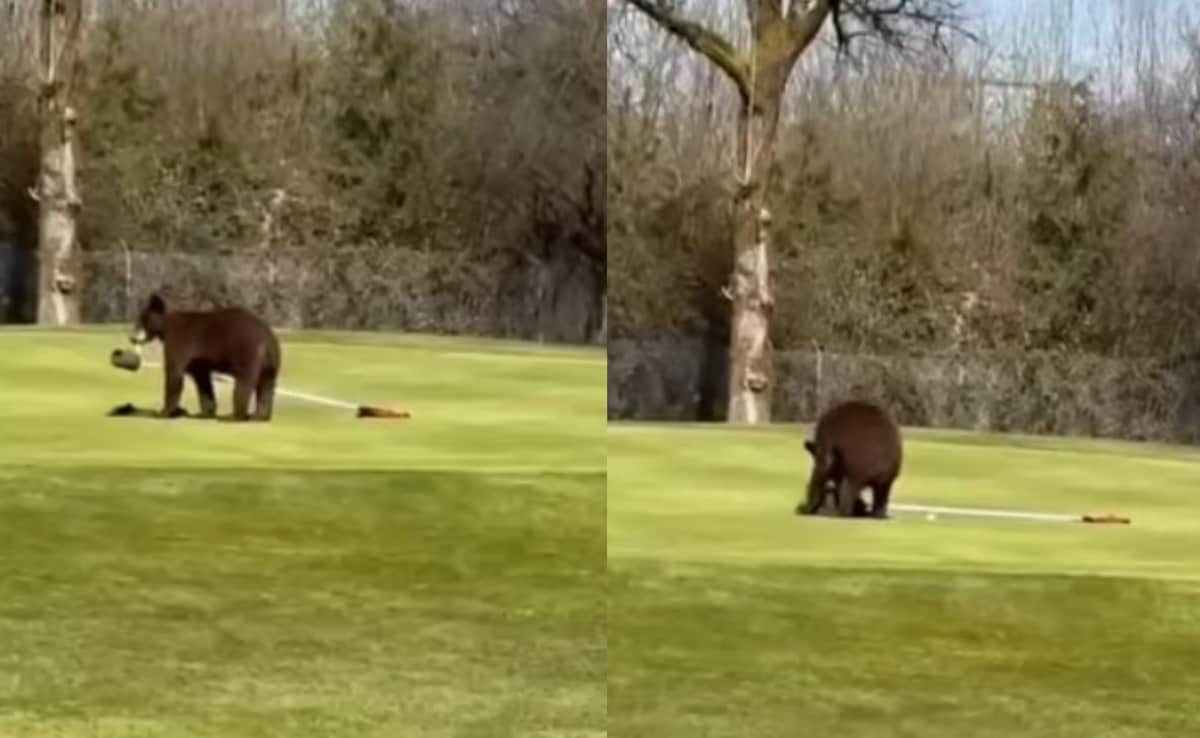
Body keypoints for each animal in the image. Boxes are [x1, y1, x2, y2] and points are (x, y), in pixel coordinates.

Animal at [129, 292, 282, 421]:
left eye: (143, 319)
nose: (132, 338)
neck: (166, 327)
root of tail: (267, 336)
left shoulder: (180, 342)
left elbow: (174, 373)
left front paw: (163, 412)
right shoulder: (199, 362)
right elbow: (203, 382)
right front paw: (205, 412)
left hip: (247, 352)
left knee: (244, 383)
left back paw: (234, 416)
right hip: (271, 363)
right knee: (267, 385)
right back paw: (259, 415)